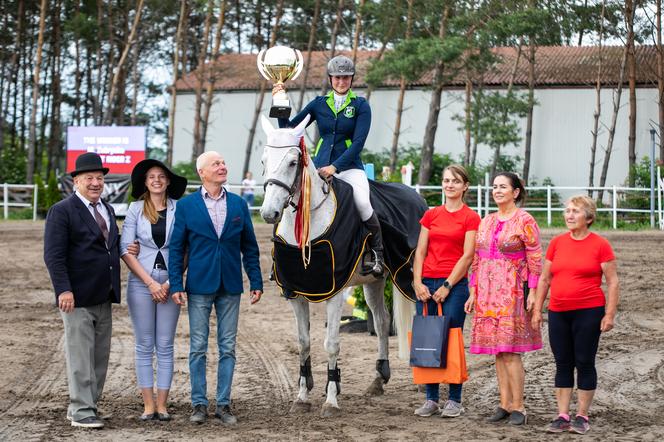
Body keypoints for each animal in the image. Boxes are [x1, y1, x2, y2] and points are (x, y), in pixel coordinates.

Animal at [260, 115, 412, 418]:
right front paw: (302, 396)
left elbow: (331, 344)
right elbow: (303, 342)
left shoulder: (335, 293)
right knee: (381, 322)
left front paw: (331, 400)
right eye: (263, 161)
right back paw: (379, 379)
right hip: (374, 282)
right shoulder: (296, 293)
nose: (268, 213)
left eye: (292, 163)